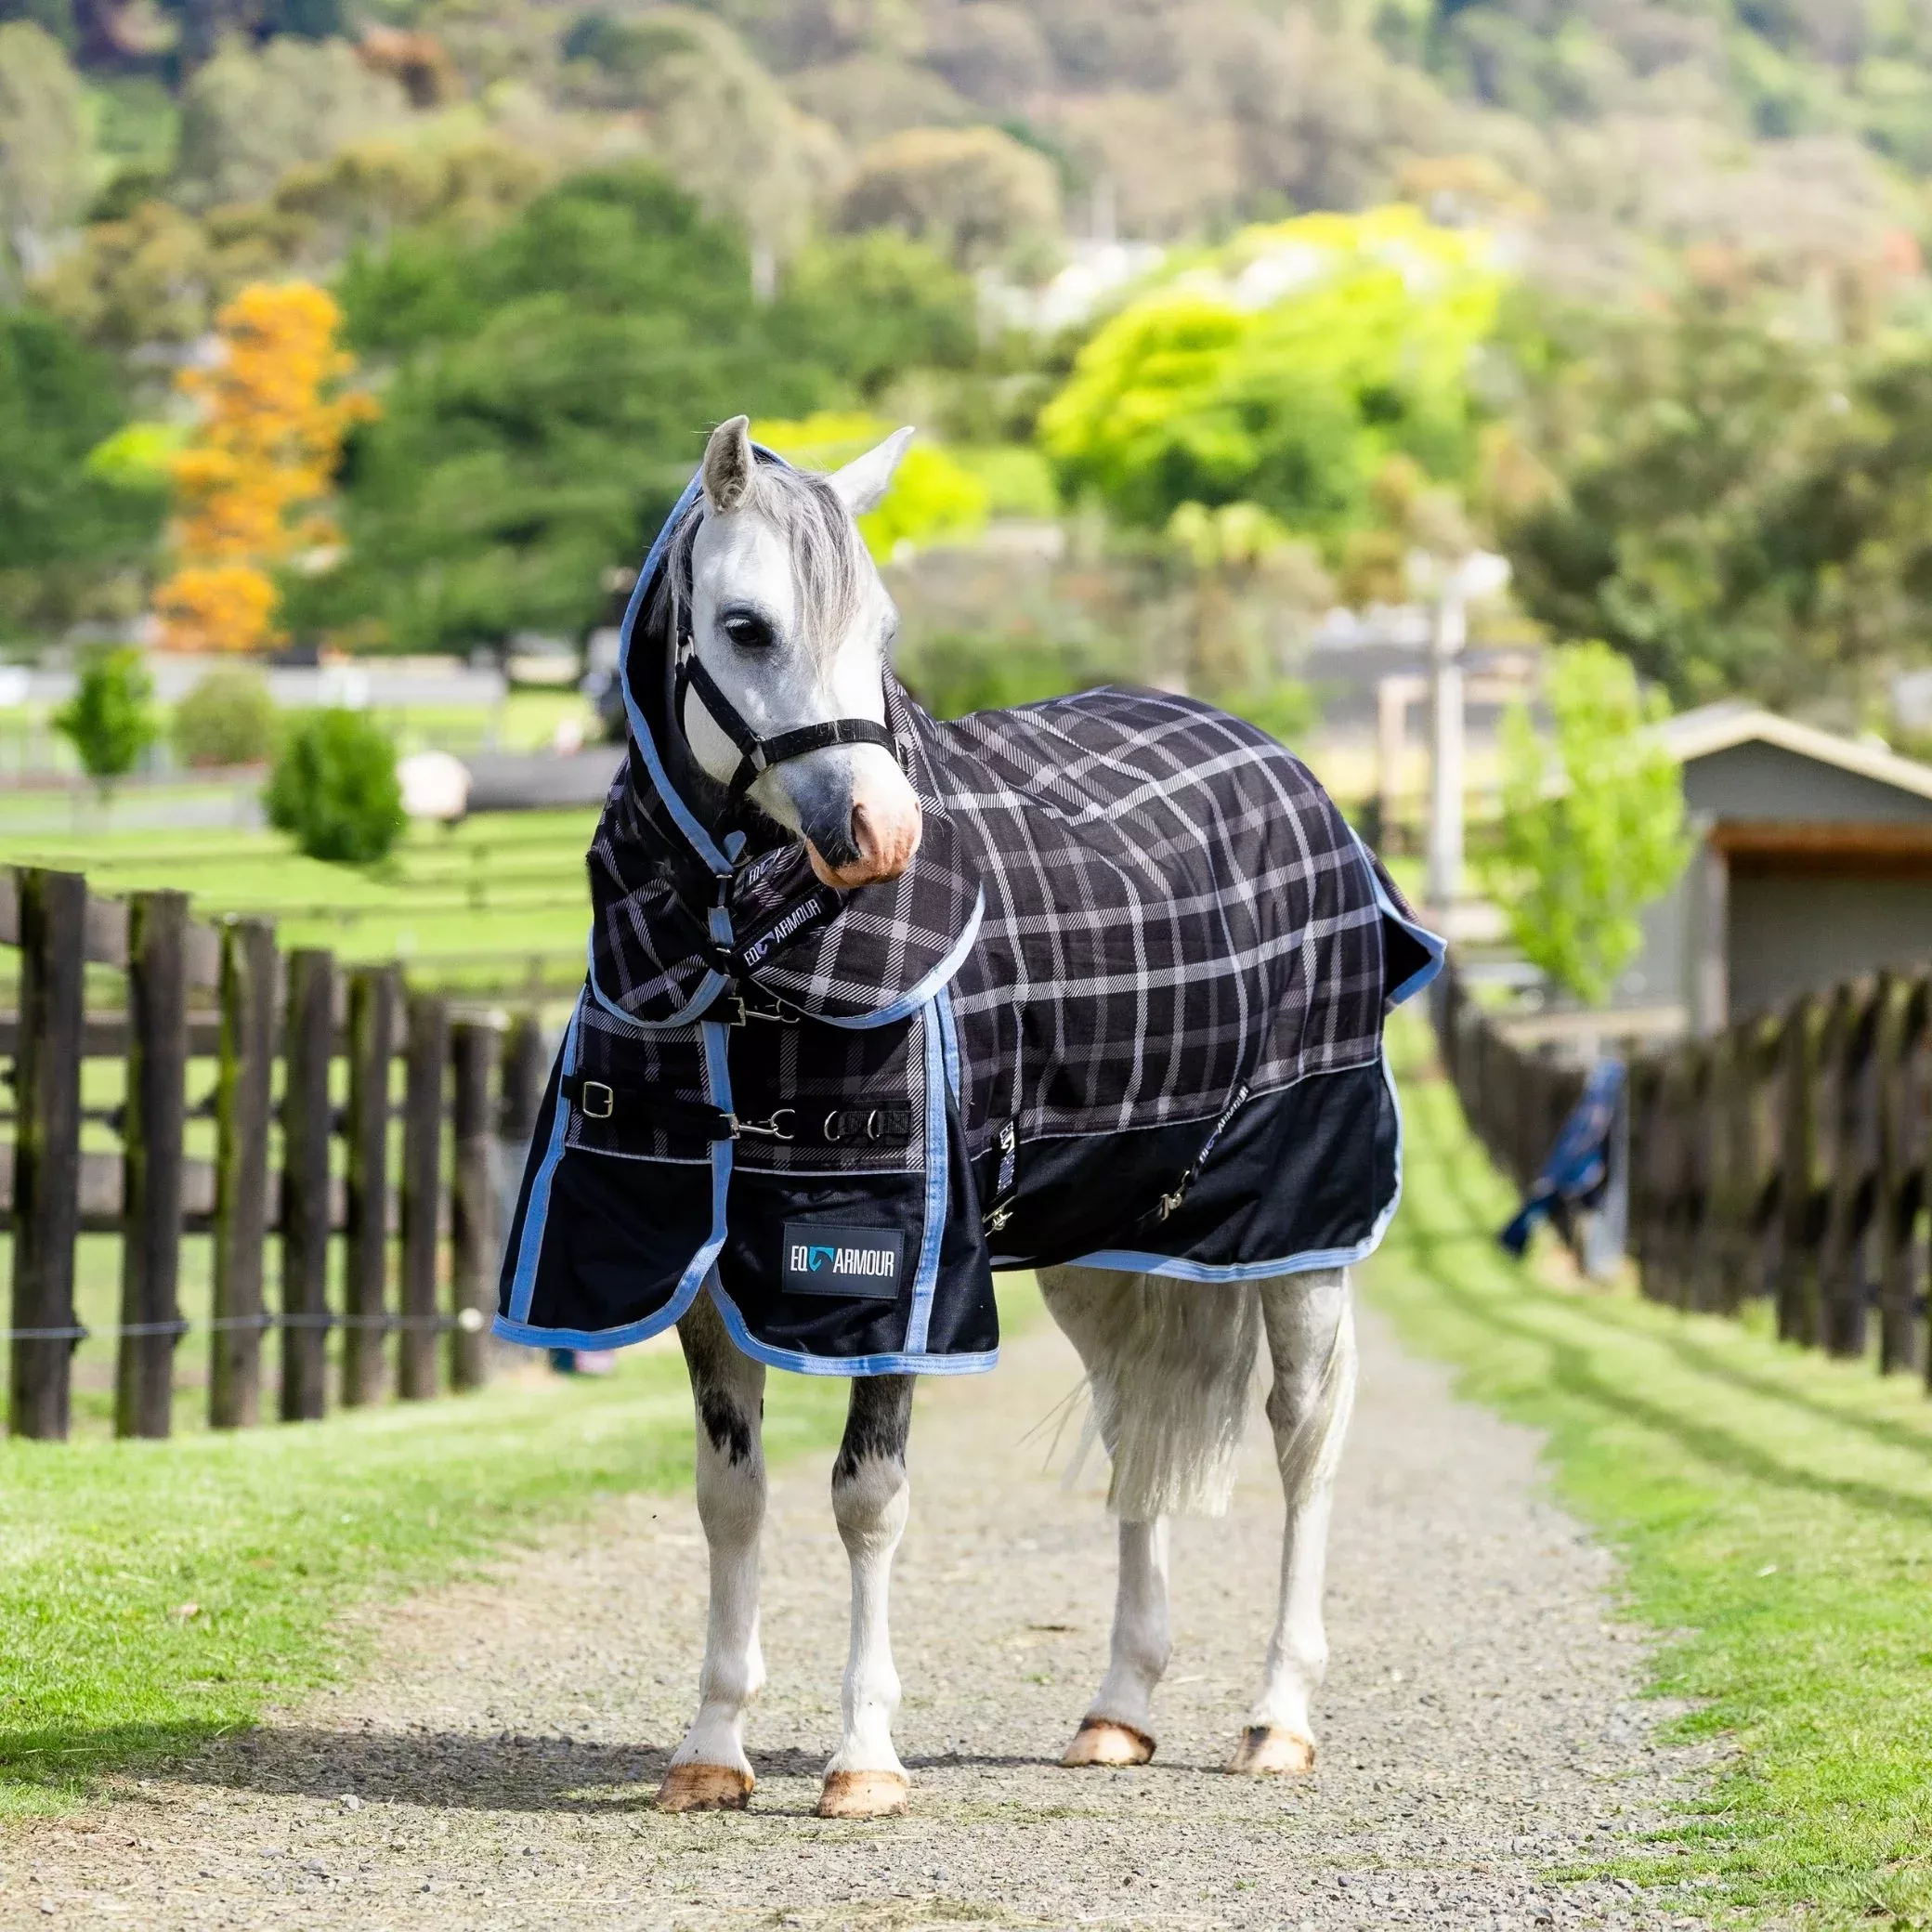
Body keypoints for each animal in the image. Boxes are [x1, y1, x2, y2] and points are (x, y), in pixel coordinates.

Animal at [496, 416, 1440, 1822]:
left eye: (882, 629)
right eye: (745, 627)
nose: (880, 834)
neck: (738, 962)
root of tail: (1286, 770)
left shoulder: (894, 1274)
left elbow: (868, 1501)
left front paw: (864, 1760)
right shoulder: (701, 1273)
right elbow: (731, 1499)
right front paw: (713, 1748)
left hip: (1299, 1236)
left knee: (1305, 1439)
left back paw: (1278, 1719)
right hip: (1106, 1248)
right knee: (1135, 1425)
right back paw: (1118, 1710)